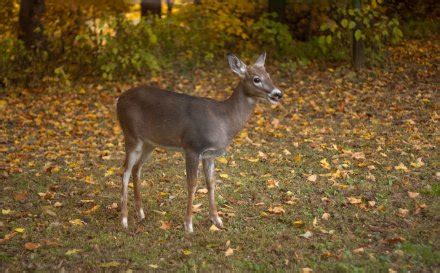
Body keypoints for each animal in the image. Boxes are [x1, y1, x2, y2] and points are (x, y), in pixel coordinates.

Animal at [116, 53, 282, 232]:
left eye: (269, 75)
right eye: (256, 79)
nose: (278, 94)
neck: (224, 120)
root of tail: (119, 99)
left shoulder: (210, 154)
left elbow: (211, 183)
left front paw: (217, 219)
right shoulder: (192, 147)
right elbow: (192, 184)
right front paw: (188, 225)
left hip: (149, 143)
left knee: (136, 169)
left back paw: (140, 213)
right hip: (131, 135)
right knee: (125, 171)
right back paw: (124, 220)